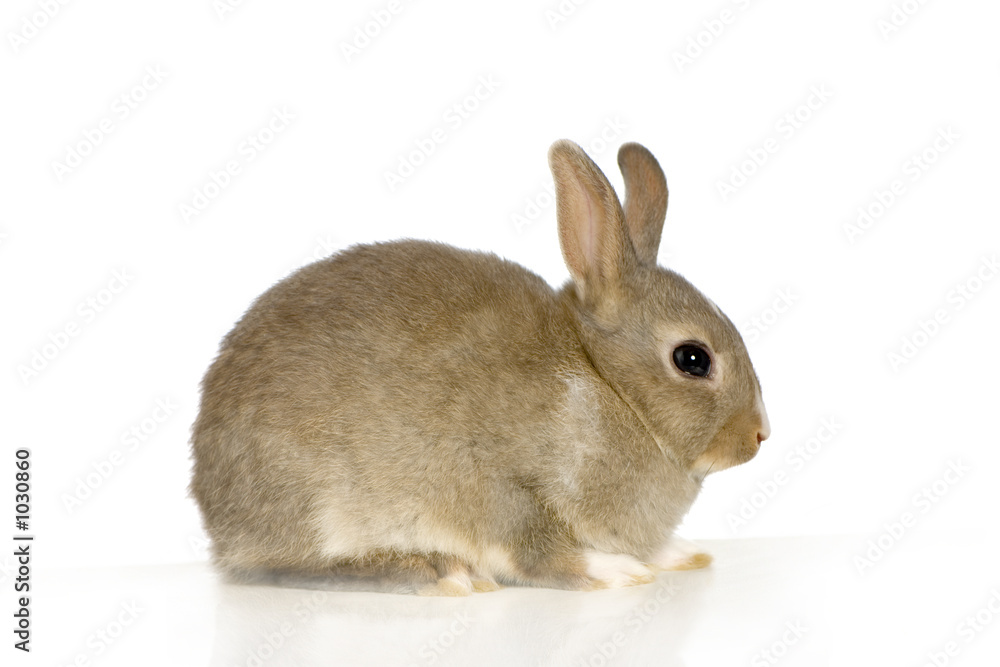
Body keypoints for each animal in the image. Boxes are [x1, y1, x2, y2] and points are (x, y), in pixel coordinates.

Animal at [190, 139, 770, 595]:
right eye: (692, 359)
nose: (759, 436)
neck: (608, 385)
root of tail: (216, 514)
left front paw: (679, 552)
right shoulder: (506, 489)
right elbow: (540, 550)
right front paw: (616, 571)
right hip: (318, 504)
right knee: (290, 567)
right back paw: (437, 571)